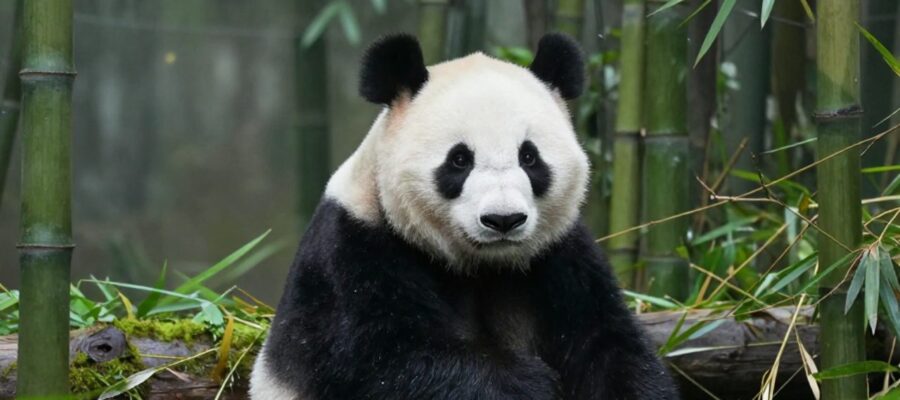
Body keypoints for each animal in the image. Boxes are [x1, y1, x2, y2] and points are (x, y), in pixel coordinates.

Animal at [250, 33, 679, 400]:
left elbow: (608, 347)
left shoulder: (561, 257)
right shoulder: (352, 254)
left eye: (529, 157)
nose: (503, 220)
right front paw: (530, 384)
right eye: (459, 160)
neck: (481, 267)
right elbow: (388, 363)